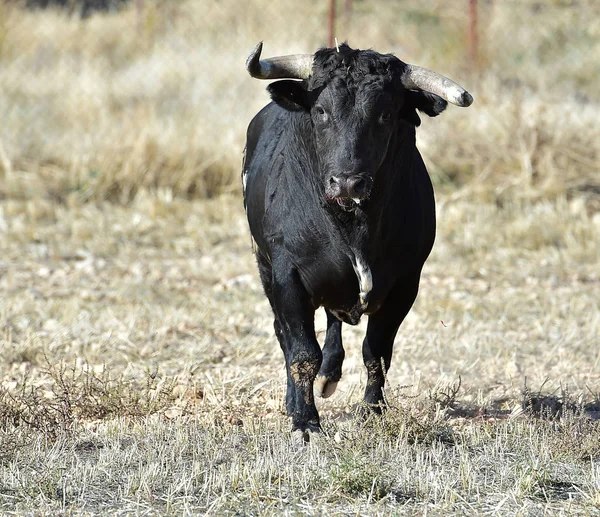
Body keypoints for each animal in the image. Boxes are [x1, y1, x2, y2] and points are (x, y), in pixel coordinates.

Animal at [241, 42, 472, 436]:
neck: (353, 224)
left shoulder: (405, 282)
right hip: (265, 268)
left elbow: (376, 350)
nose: (348, 182)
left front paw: (372, 410)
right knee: (285, 335)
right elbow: (302, 351)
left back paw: (329, 376)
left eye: (386, 114)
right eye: (320, 110)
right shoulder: (287, 276)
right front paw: (305, 420)